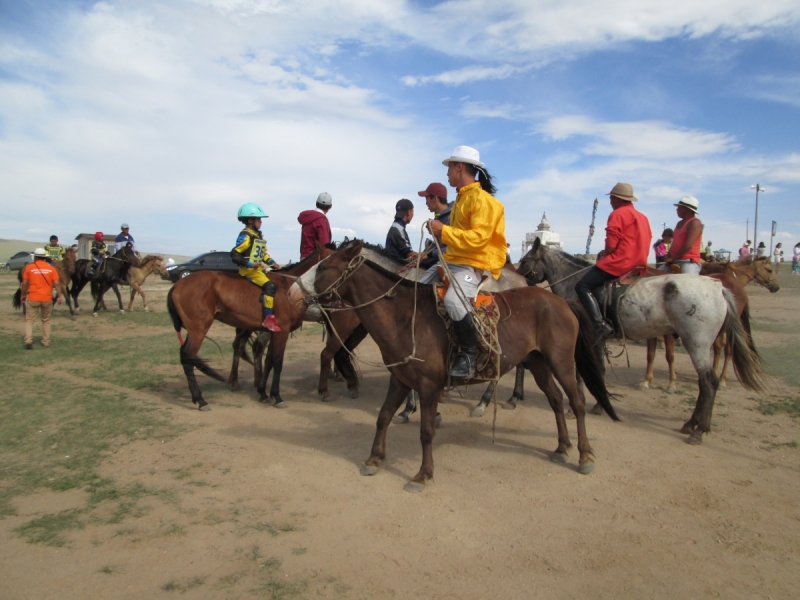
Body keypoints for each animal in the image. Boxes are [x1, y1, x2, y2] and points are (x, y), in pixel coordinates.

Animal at [308, 243, 620, 492]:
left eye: (322, 266)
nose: (298, 290)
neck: (405, 316)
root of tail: (563, 302)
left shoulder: (429, 386)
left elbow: (426, 430)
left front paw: (423, 475)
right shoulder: (400, 379)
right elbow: (383, 417)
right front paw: (374, 459)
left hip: (561, 362)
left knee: (576, 403)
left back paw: (584, 455)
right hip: (538, 363)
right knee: (555, 401)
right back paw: (561, 447)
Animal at [516, 240, 764, 446]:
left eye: (525, 259)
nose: (518, 281)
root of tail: (718, 287)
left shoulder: (586, 341)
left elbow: (582, 375)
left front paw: (577, 407)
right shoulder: (598, 342)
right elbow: (600, 371)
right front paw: (599, 405)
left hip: (697, 343)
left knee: (709, 382)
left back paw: (698, 430)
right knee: (704, 384)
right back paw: (691, 424)